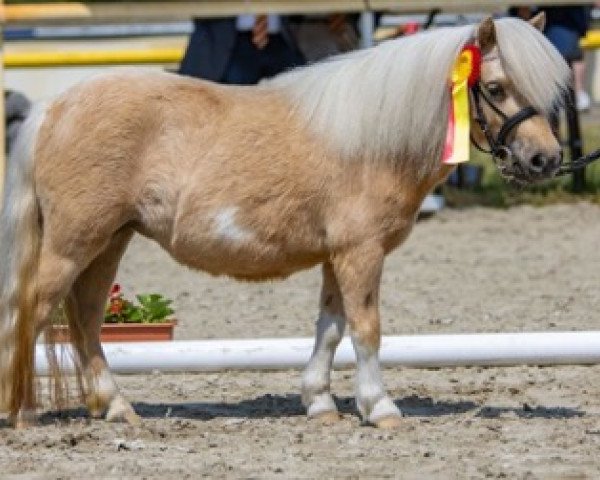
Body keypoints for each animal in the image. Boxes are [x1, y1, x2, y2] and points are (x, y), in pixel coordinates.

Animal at [0, 15, 568, 428]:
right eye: (495, 87)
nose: (546, 159)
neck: (371, 139)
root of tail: (54, 108)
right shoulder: (361, 252)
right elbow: (366, 328)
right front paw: (380, 407)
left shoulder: (336, 256)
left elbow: (331, 328)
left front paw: (320, 403)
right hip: (73, 243)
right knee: (32, 311)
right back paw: (20, 409)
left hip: (108, 242)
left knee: (85, 319)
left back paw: (116, 406)